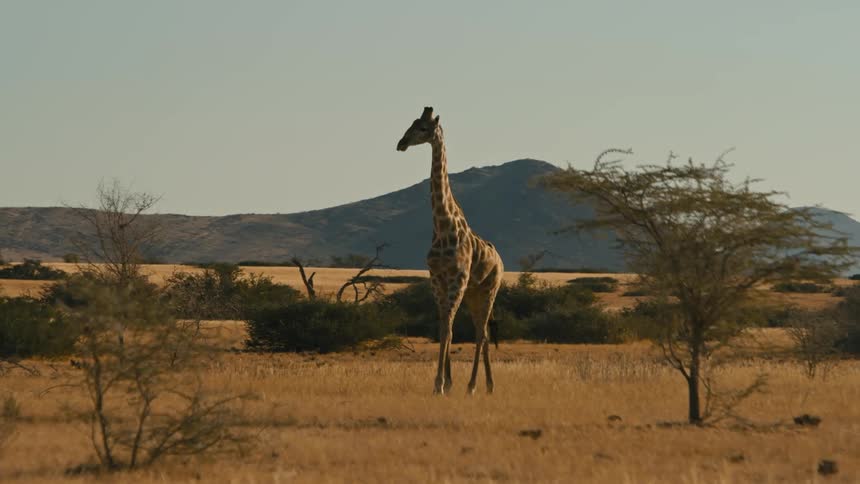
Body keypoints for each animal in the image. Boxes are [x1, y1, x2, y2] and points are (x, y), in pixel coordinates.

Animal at [397, 107, 504, 395]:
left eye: (423, 128)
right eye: (410, 124)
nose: (401, 144)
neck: (442, 226)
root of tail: (501, 261)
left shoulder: (457, 278)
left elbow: (449, 330)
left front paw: (441, 384)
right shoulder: (437, 278)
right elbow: (445, 328)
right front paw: (445, 382)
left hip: (489, 289)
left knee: (481, 333)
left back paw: (473, 386)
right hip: (473, 293)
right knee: (484, 334)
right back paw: (489, 385)